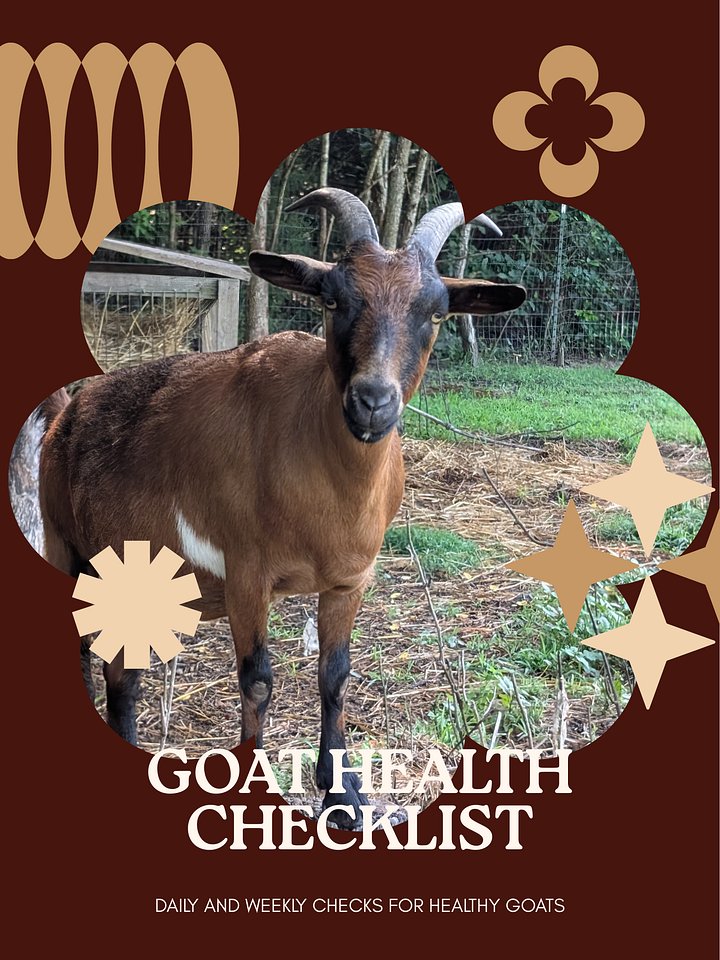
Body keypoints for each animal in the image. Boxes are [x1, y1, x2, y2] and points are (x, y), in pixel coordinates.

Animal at [37, 189, 525, 827]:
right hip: (68, 549)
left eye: (437, 311)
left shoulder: (349, 580)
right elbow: (258, 681)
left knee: (119, 669)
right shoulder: (246, 575)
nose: (372, 401)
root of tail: (67, 414)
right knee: (102, 664)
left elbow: (334, 678)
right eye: (333, 298)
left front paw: (343, 796)